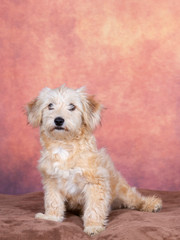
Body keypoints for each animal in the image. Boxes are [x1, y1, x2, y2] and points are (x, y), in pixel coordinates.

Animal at [26, 85, 162, 235]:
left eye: (72, 106)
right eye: (50, 105)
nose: (58, 120)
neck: (64, 145)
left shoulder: (95, 182)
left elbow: (94, 207)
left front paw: (93, 226)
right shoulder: (51, 181)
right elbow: (53, 201)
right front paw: (51, 217)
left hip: (123, 190)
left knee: (135, 199)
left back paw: (151, 204)